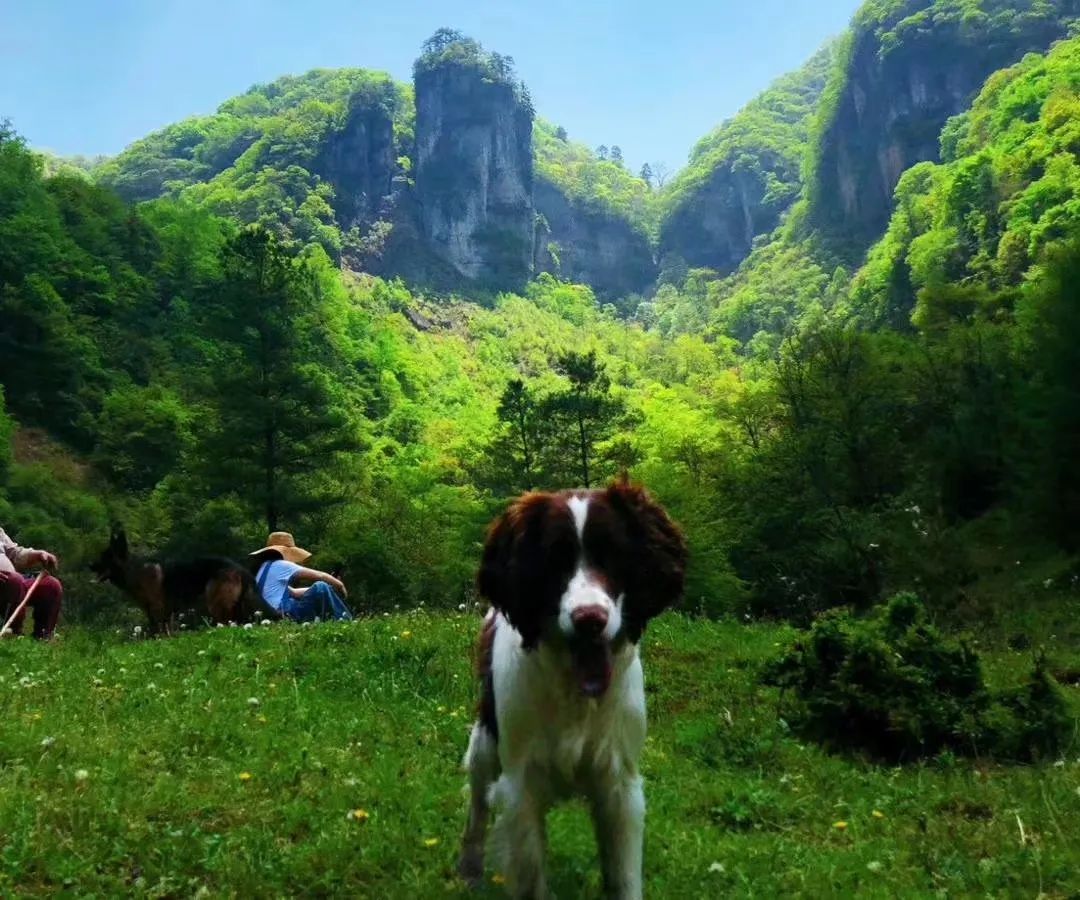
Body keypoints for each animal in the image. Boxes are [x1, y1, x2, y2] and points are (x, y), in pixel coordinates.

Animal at [90, 527, 282, 630]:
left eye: (105, 557)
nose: (89, 565)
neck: (133, 570)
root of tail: (242, 570)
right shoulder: (158, 613)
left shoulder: (158, 610)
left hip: (217, 602)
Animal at [460, 481, 686, 894]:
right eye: (554, 559)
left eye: (613, 555)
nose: (589, 620)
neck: (574, 693)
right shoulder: (520, 785)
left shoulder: (619, 783)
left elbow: (624, 877)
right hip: (485, 745)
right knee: (477, 809)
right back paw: (468, 868)